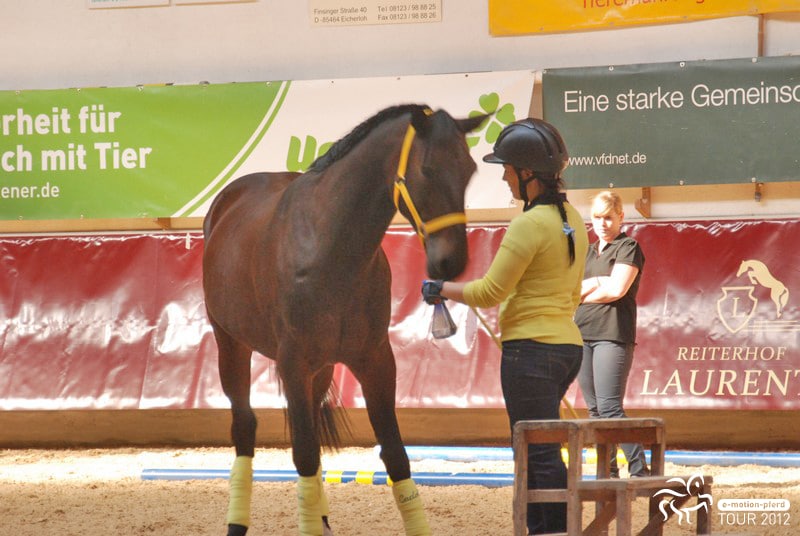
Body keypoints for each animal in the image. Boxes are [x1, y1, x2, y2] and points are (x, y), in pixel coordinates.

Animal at [202, 104, 488, 536]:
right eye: (428, 169)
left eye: (469, 169)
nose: (451, 262)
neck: (331, 251)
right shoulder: (293, 364)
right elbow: (303, 456)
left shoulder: (375, 361)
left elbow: (396, 456)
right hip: (230, 345)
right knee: (245, 428)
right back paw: (237, 524)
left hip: (319, 370)